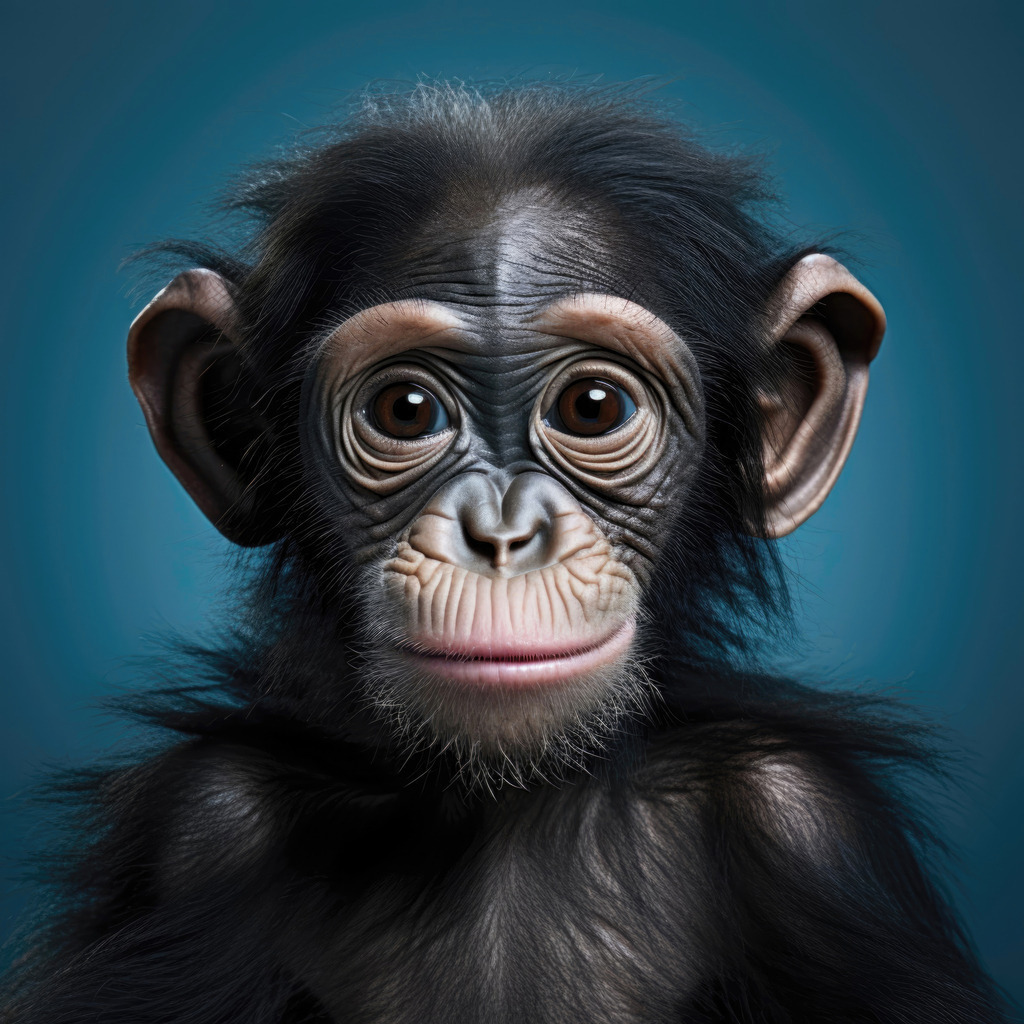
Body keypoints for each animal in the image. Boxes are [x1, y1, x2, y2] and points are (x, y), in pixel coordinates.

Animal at [1, 83, 1012, 1023]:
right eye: (406, 410)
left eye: (594, 408)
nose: (501, 535)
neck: (504, 803)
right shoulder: (194, 834)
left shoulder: (812, 830)